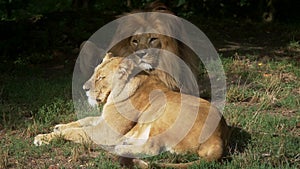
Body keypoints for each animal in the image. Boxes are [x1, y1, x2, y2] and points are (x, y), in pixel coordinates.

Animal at [34, 52, 230, 168]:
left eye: (101, 77)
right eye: (95, 72)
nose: (84, 88)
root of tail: (218, 137)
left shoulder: (106, 132)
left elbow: (76, 132)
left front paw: (43, 138)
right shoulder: (103, 120)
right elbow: (84, 121)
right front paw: (58, 126)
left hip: (162, 115)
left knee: (152, 147)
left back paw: (120, 148)